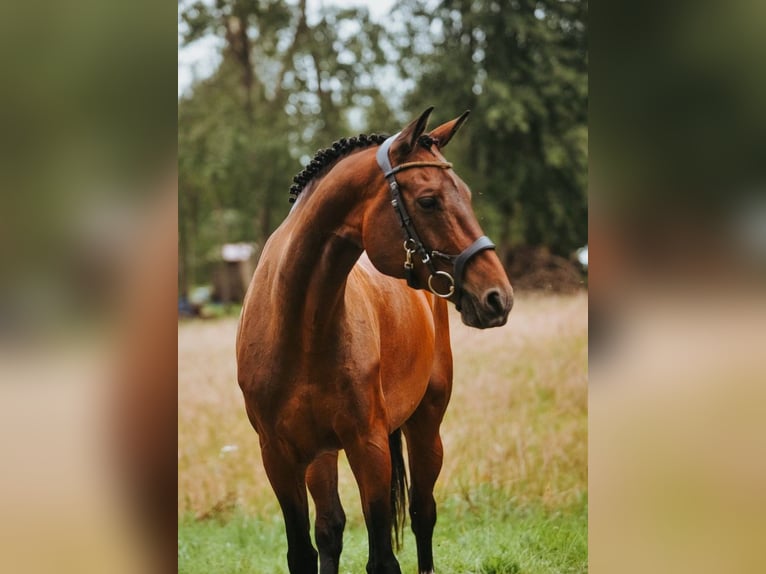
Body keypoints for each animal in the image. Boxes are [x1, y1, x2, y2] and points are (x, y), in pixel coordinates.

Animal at [238, 109, 516, 574]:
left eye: (465, 193)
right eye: (428, 200)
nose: (498, 297)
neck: (300, 330)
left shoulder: (368, 447)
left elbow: (383, 557)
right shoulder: (278, 455)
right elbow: (304, 551)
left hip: (426, 427)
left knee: (423, 513)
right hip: (320, 456)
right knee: (330, 527)